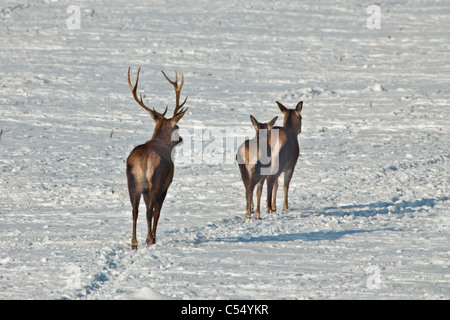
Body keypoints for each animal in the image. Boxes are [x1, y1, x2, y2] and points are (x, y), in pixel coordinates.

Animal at [125, 67, 189, 249]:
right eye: (176, 126)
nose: (180, 139)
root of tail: (142, 161)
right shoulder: (166, 185)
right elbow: (157, 212)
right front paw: (153, 237)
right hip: (155, 182)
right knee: (149, 211)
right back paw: (148, 239)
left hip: (132, 183)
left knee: (135, 211)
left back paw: (134, 243)